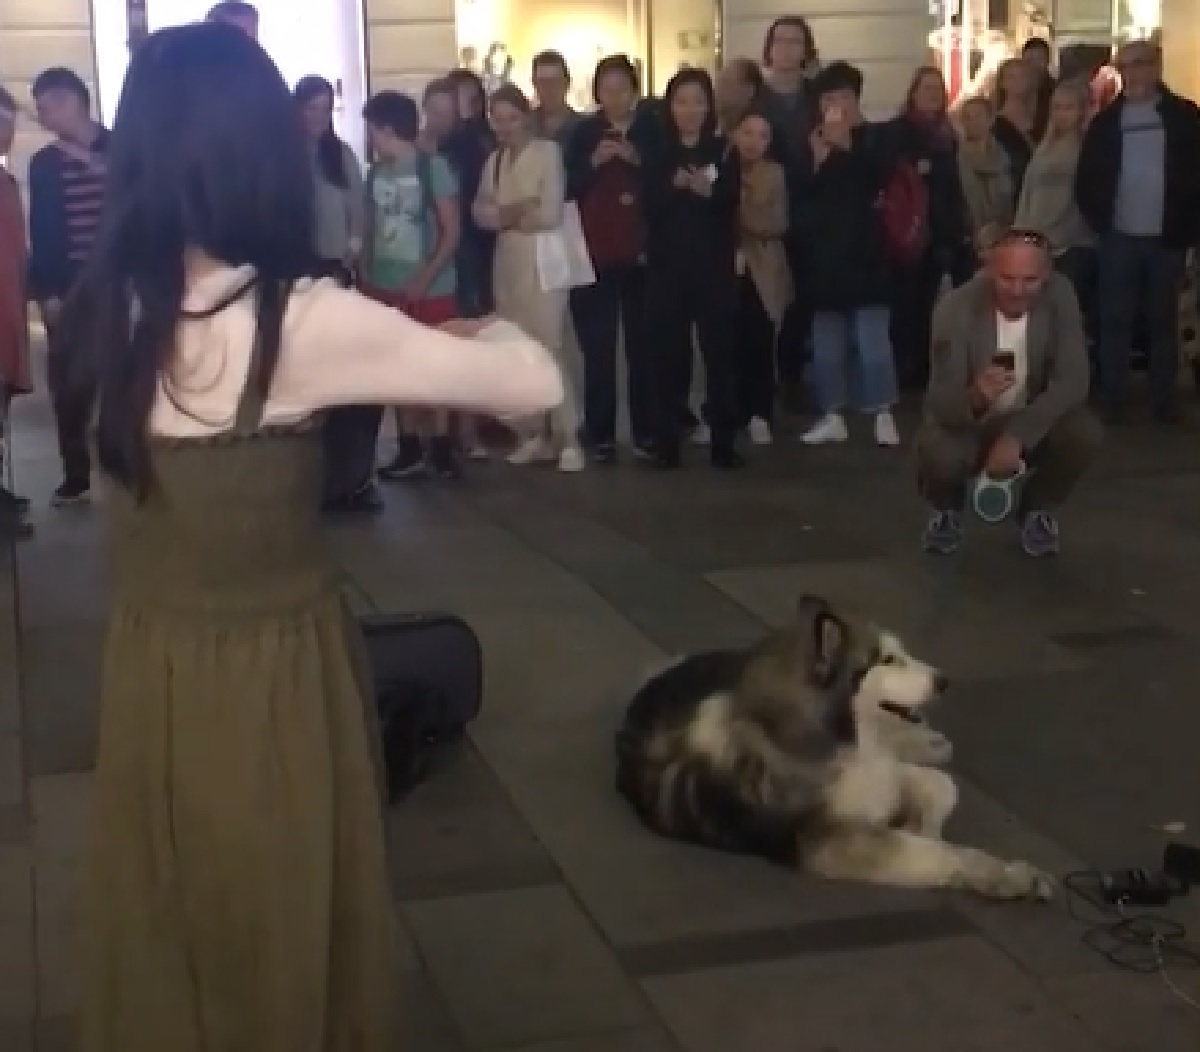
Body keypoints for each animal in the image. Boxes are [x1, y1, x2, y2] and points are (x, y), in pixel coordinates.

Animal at [619, 594, 1051, 897]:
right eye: (888, 659)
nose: (945, 681)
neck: (845, 740)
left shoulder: (882, 772)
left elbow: (942, 787)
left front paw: (924, 821)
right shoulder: (830, 842)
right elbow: (937, 847)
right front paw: (1010, 876)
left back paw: (929, 741)